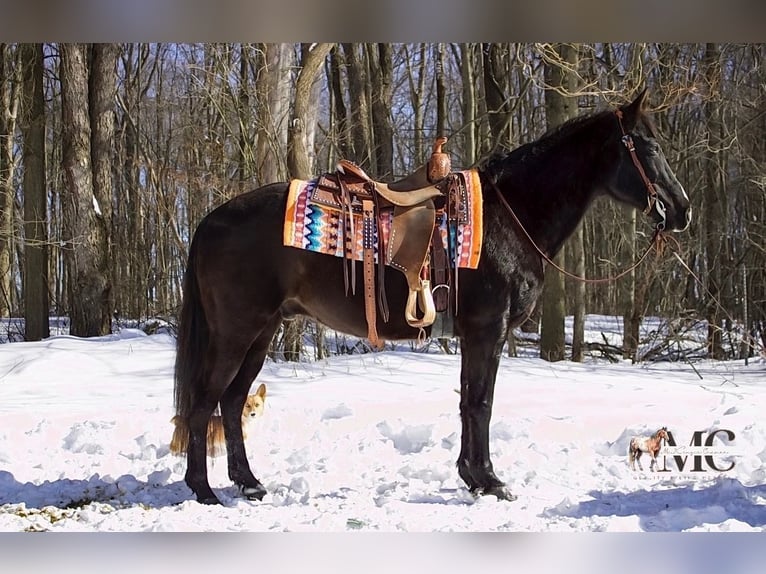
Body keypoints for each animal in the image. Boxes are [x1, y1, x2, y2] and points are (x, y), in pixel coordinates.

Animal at [173, 89, 692, 505]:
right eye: (648, 146)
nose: (682, 210)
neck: (511, 215)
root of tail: (210, 220)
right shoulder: (486, 331)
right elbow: (481, 402)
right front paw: (490, 481)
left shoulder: (476, 336)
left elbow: (468, 402)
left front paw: (472, 477)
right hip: (236, 333)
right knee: (204, 402)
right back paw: (204, 490)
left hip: (261, 332)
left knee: (232, 401)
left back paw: (249, 483)